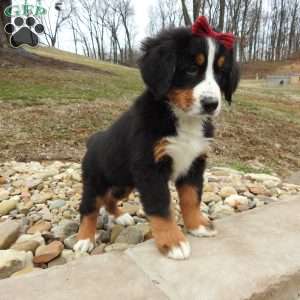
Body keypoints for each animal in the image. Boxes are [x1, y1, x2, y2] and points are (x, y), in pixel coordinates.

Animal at [74, 17, 240, 260]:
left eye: (220, 72)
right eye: (191, 69)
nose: (211, 104)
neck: (182, 118)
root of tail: (93, 140)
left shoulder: (194, 163)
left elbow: (192, 198)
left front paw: (197, 226)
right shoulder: (150, 168)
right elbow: (160, 206)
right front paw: (173, 242)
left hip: (124, 182)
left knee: (110, 198)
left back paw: (121, 216)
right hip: (95, 180)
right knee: (89, 207)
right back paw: (84, 239)